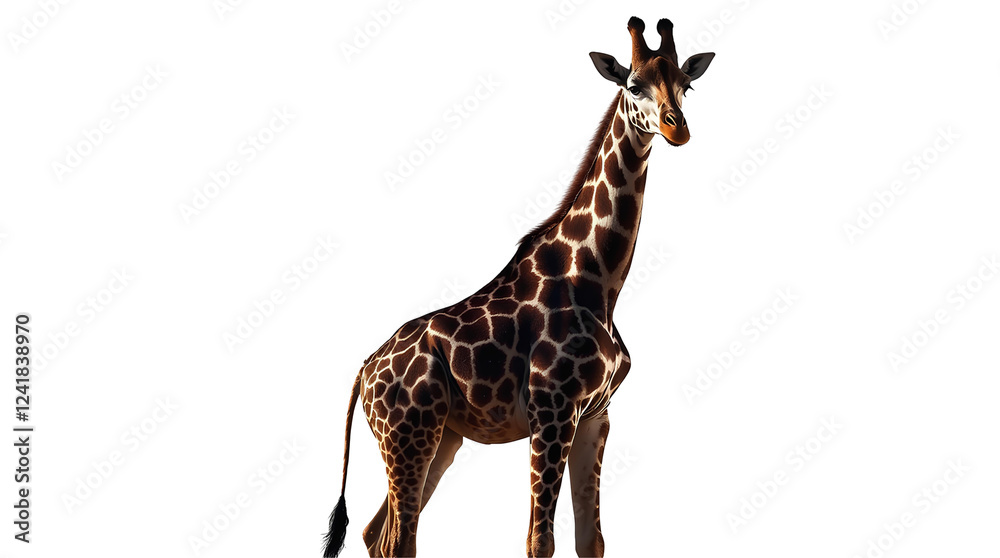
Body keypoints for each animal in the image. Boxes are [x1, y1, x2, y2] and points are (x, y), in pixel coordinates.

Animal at [323, 16, 714, 558]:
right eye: (634, 85)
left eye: (686, 85)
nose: (679, 128)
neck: (600, 282)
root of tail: (364, 371)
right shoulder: (553, 410)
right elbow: (539, 541)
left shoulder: (596, 415)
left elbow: (591, 540)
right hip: (408, 431)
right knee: (400, 538)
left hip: (442, 437)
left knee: (374, 531)